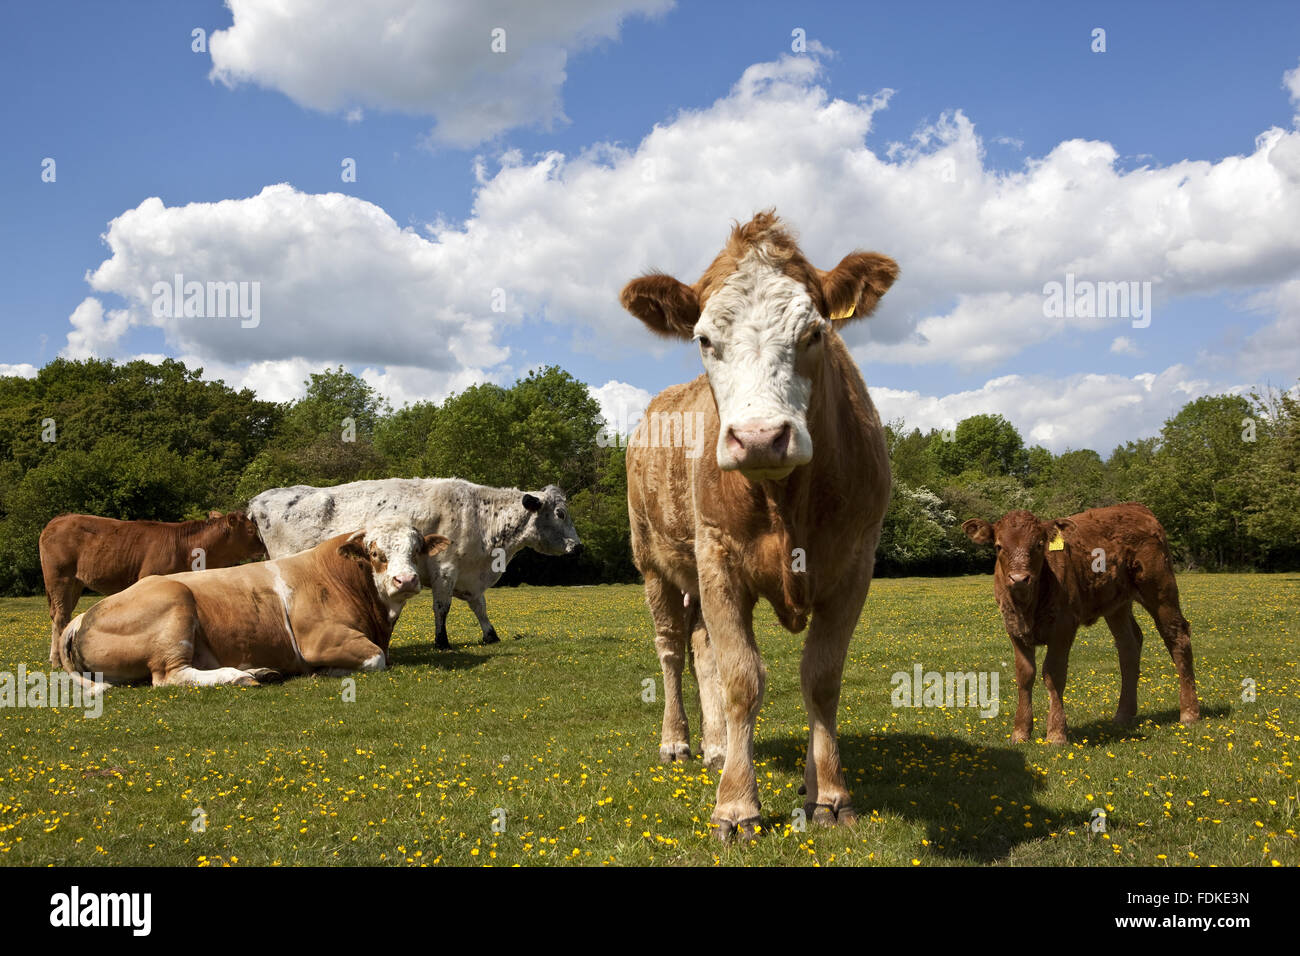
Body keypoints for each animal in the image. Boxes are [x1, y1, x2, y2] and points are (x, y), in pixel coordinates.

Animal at [40, 510, 266, 667]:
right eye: (250, 530)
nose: (263, 548)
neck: (187, 549)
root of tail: (58, 520)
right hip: (59, 578)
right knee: (60, 616)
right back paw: (57, 661)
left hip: (74, 583)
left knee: (60, 615)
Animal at [59, 524, 449, 690]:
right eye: (375, 554)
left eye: (416, 549)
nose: (406, 580)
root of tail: (82, 617)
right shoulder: (320, 639)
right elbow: (376, 659)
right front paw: (325, 671)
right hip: (174, 605)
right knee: (170, 677)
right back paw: (239, 676)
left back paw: (262, 671)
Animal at [247, 478, 581, 649]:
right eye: (560, 513)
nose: (578, 546)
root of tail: (258, 500)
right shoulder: (445, 568)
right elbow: (442, 607)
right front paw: (442, 641)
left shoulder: (469, 577)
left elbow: (480, 607)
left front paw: (490, 635)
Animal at [619, 210, 899, 840]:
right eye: (703, 339)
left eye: (814, 332)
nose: (760, 437)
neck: (784, 501)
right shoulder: (719, 558)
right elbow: (743, 678)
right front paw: (736, 807)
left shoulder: (855, 563)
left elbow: (821, 677)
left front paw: (827, 793)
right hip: (654, 563)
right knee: (672, 651)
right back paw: (678, 742)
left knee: (701, 648)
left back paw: (719, 746)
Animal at [961, 503, 1200, 745]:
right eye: (999, 546)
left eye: (1039, 544)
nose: (1019, 578)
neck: (1027, 607)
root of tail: (1135, 507)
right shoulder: (1013, 628)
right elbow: (1025, 675)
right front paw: (1020, 732)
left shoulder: (1064, 626)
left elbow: (1054, 674)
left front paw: (1056, 733)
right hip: (1116, 605)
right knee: (1129, 645)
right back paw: (1123, 714)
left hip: (1160, 589)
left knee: (1177, 636)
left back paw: (1189, 713)